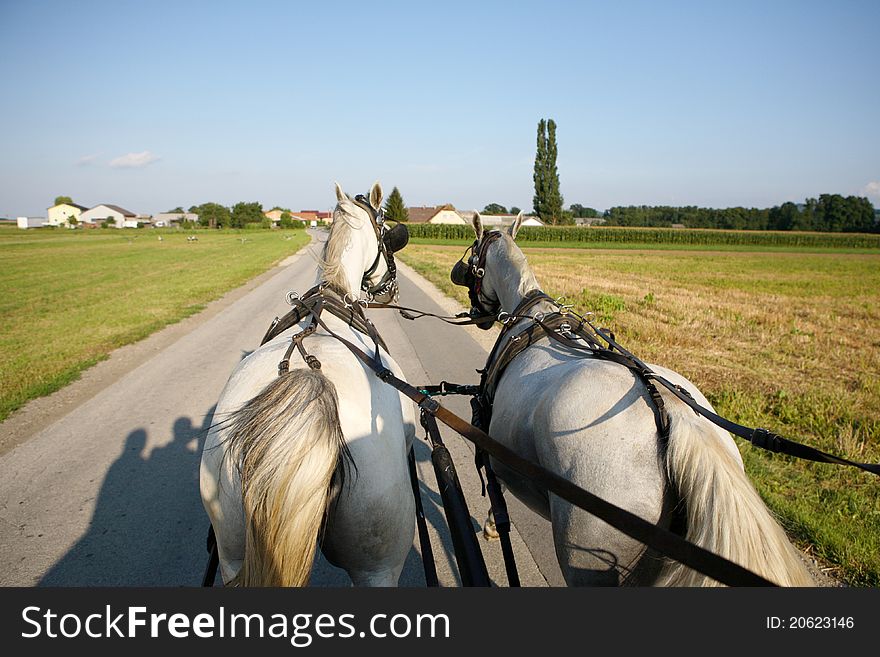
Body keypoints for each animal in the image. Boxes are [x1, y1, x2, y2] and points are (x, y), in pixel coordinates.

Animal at [201, 182, 418, 588]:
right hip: (378, 565)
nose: (393, 293)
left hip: (231, 550)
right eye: (387, 232)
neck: (335, 294)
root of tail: (311, 379)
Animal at [454, 214, 812, 584]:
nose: (477, 314)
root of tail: (673, 414)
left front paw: (491, 524)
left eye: (472, 255)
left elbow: (498, 489)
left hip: (586, 553)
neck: (531, 314)